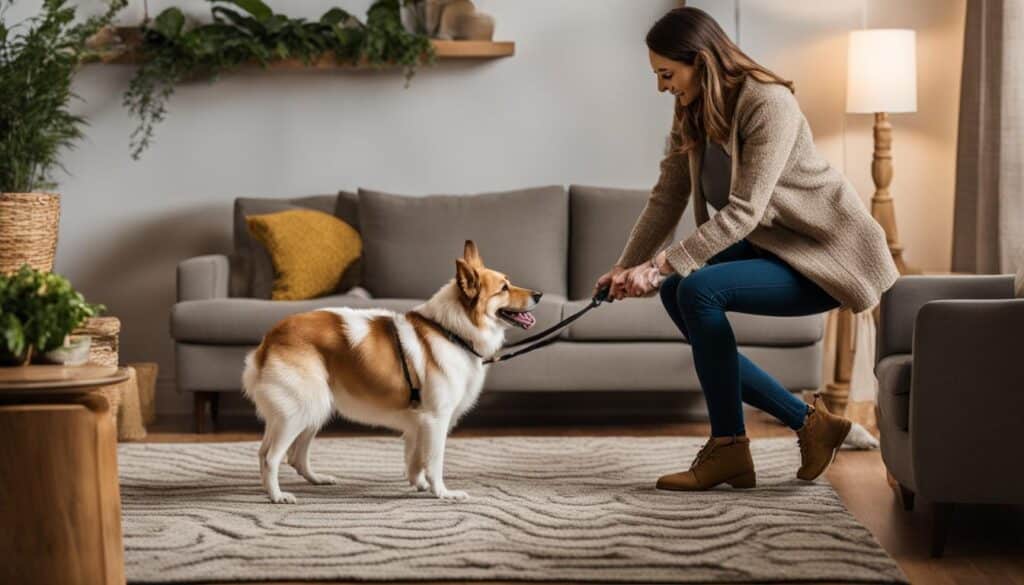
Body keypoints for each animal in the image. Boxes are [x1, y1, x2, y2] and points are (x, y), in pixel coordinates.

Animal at [242, 238, 540, 504]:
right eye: (504, 288)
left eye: (509, 282)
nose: (538, 295)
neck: (450, 331)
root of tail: (271, 338)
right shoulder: (436, 420)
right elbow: (434, 461)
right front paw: (442, 493)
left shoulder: (419, 423)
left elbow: (415, 459)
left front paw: (419, 485)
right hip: (299, 412)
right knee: (271, 457)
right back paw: (277, 496)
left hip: (313, 409)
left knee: (287, 455)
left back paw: (314, 480)